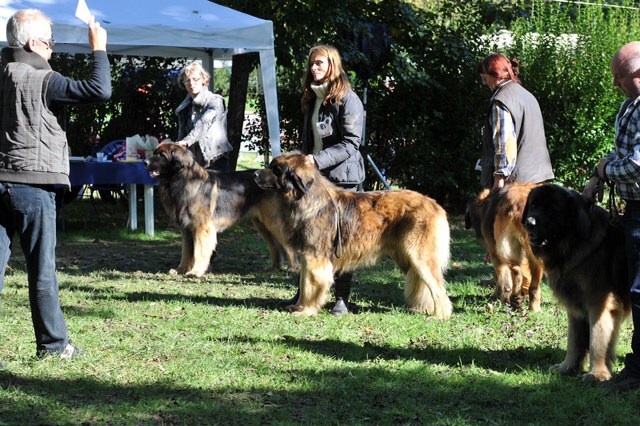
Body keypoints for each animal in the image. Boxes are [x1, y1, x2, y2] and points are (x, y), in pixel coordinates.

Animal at [146, 141, 298, 278]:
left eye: (161, 156)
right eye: (154, 153)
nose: (145, 162)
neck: (183, 179)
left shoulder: (201, 227)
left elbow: (199, 251)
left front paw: (196, 272)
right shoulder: (186, 228)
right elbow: (186, 252)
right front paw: (180, 269)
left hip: (272, 222)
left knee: (288, 245)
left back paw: (292, 268)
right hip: (262, 225)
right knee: (275, 246)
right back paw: (274, 268)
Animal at [252, 151, 452, 318]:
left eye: (276, 169)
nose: (254, 174)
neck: (305, 198)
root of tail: (435, 204)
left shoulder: (315, 258)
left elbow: (309, 286)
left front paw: (306, 311)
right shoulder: (307, 256)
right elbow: (303, 283)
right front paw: (298, 306)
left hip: (420, 258)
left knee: (438, 288)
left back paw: (440, 315)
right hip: (405, 258)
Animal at [464, 182, 544, 310]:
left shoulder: (493, 248)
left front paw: (496, 296)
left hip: (502, 249)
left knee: (510, 277)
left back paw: (510, 298)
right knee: (533, 285)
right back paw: (531, 307)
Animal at [524, 185, 632, 382]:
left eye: (551, 210)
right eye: (533, 205)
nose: (529, 223)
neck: (573, 243)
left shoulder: (599, 304)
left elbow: (597, 339)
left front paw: (597, 374)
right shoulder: (575, 305)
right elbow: (574, 341)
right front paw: (567, 368)